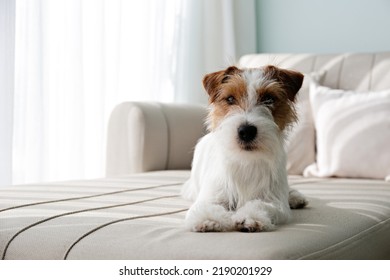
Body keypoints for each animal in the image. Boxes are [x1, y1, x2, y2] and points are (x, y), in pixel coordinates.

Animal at [182, 65, 308, 232]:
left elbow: (261, 205)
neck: (245, 161)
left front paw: (250, 217)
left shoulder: (276, 203)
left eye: (268, 98)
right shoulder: (211, 195)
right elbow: (208, 206)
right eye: (230, 99)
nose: (246, 131)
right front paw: (208, 219)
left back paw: (294, 197)